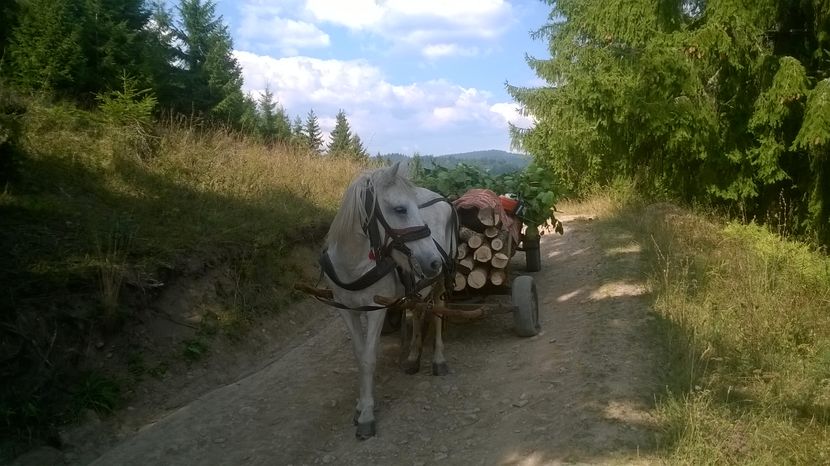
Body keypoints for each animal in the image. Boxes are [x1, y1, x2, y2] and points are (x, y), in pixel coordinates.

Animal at [322, 162, 458, 438]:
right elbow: (359, 355)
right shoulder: (346, 309)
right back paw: (413, 356)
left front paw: (366, 414)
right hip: (420, 284)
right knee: (418, 311)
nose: (433, 261)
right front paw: (360, 405)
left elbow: (368, 358)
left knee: (438, 313)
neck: (353, 264)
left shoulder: (376, 308)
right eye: (400, 209)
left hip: (440, 280)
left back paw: (438, 359)